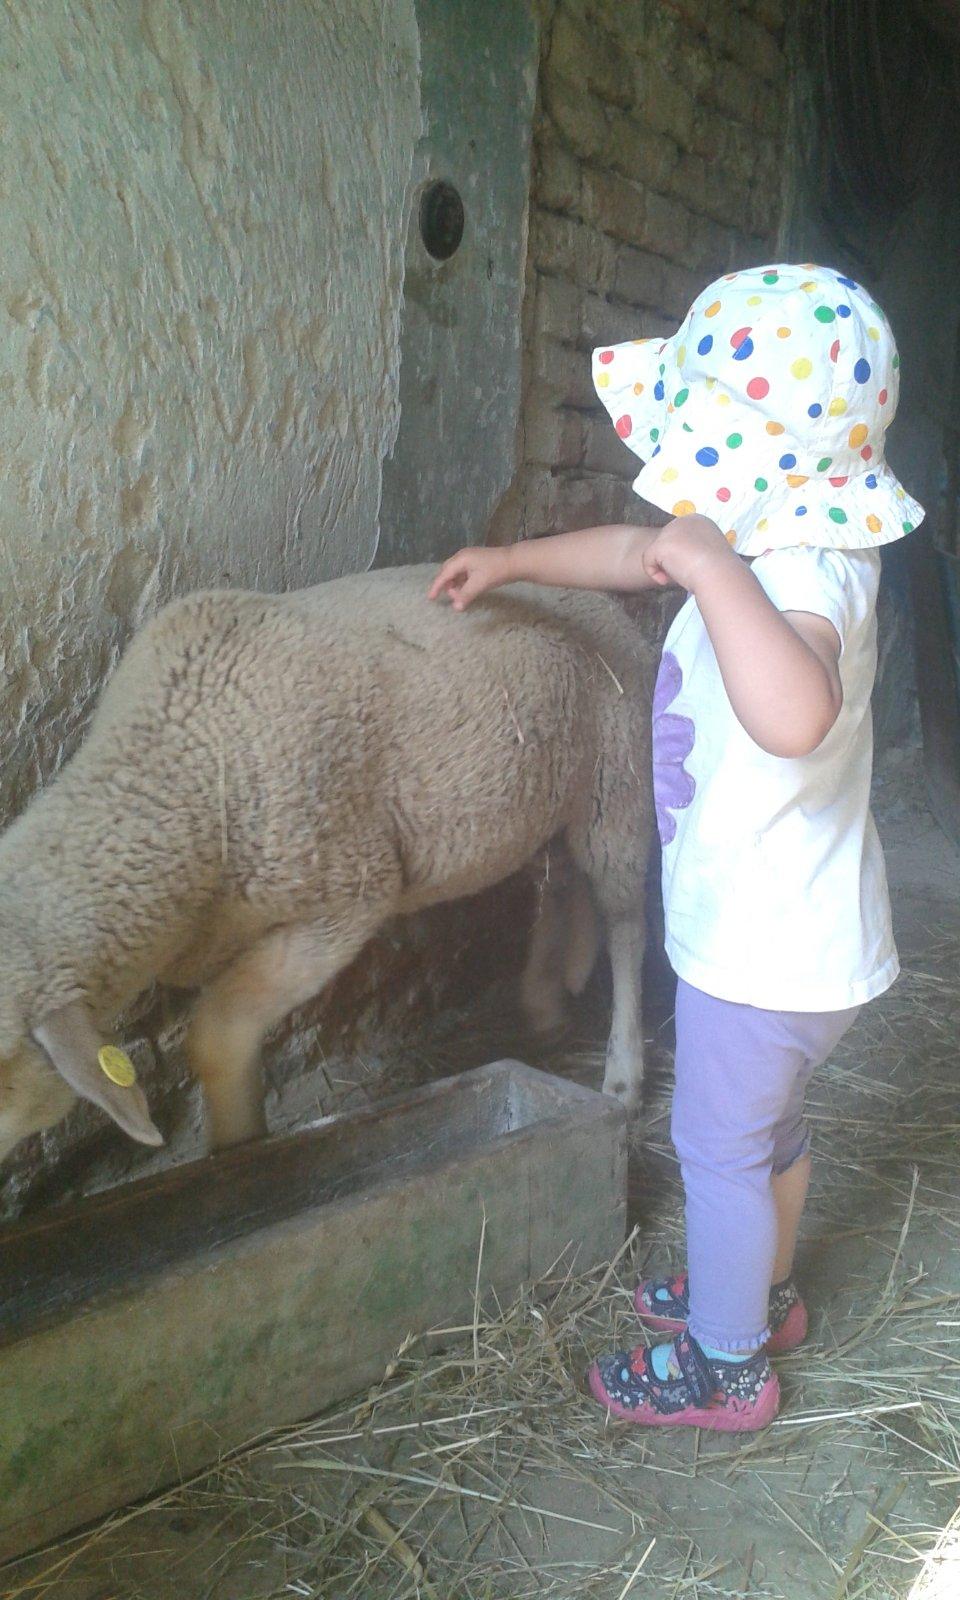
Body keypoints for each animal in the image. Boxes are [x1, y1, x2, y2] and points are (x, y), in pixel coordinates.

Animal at [0, 564, 654, 1164]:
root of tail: (602, 602)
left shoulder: (347, 899)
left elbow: (216, 1036)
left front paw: (238, 1144)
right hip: (549, 802)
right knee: (562, 885)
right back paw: (547, 999)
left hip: (616, 784)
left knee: (627, 923)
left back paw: (623, 1073)